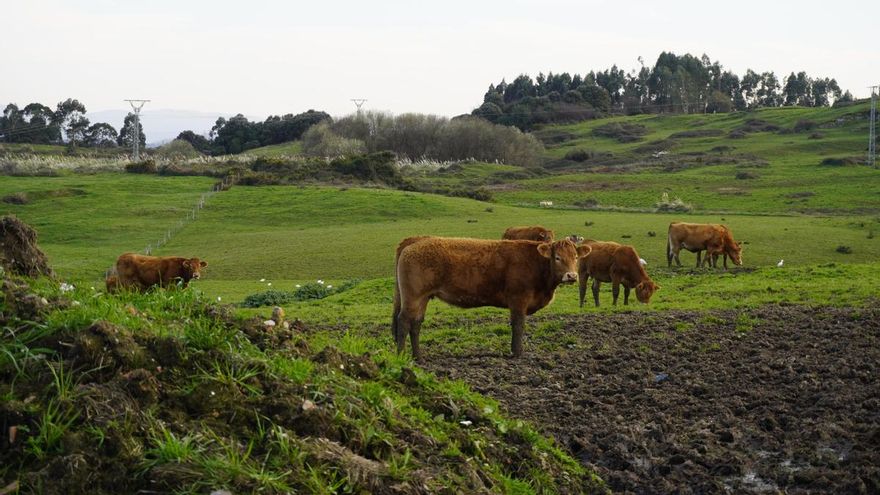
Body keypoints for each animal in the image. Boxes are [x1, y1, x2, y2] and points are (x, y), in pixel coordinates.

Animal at [392, 237, 591, 360]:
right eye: (557, 257)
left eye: (575, 257)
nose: (572, 276)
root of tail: (416, 240)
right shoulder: (518, 300)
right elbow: (518, 326)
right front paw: (517, 353)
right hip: (413, 296)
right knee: (403, 322)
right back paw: (401, 356)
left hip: (422, 298)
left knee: (416, 324)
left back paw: (419, 357)